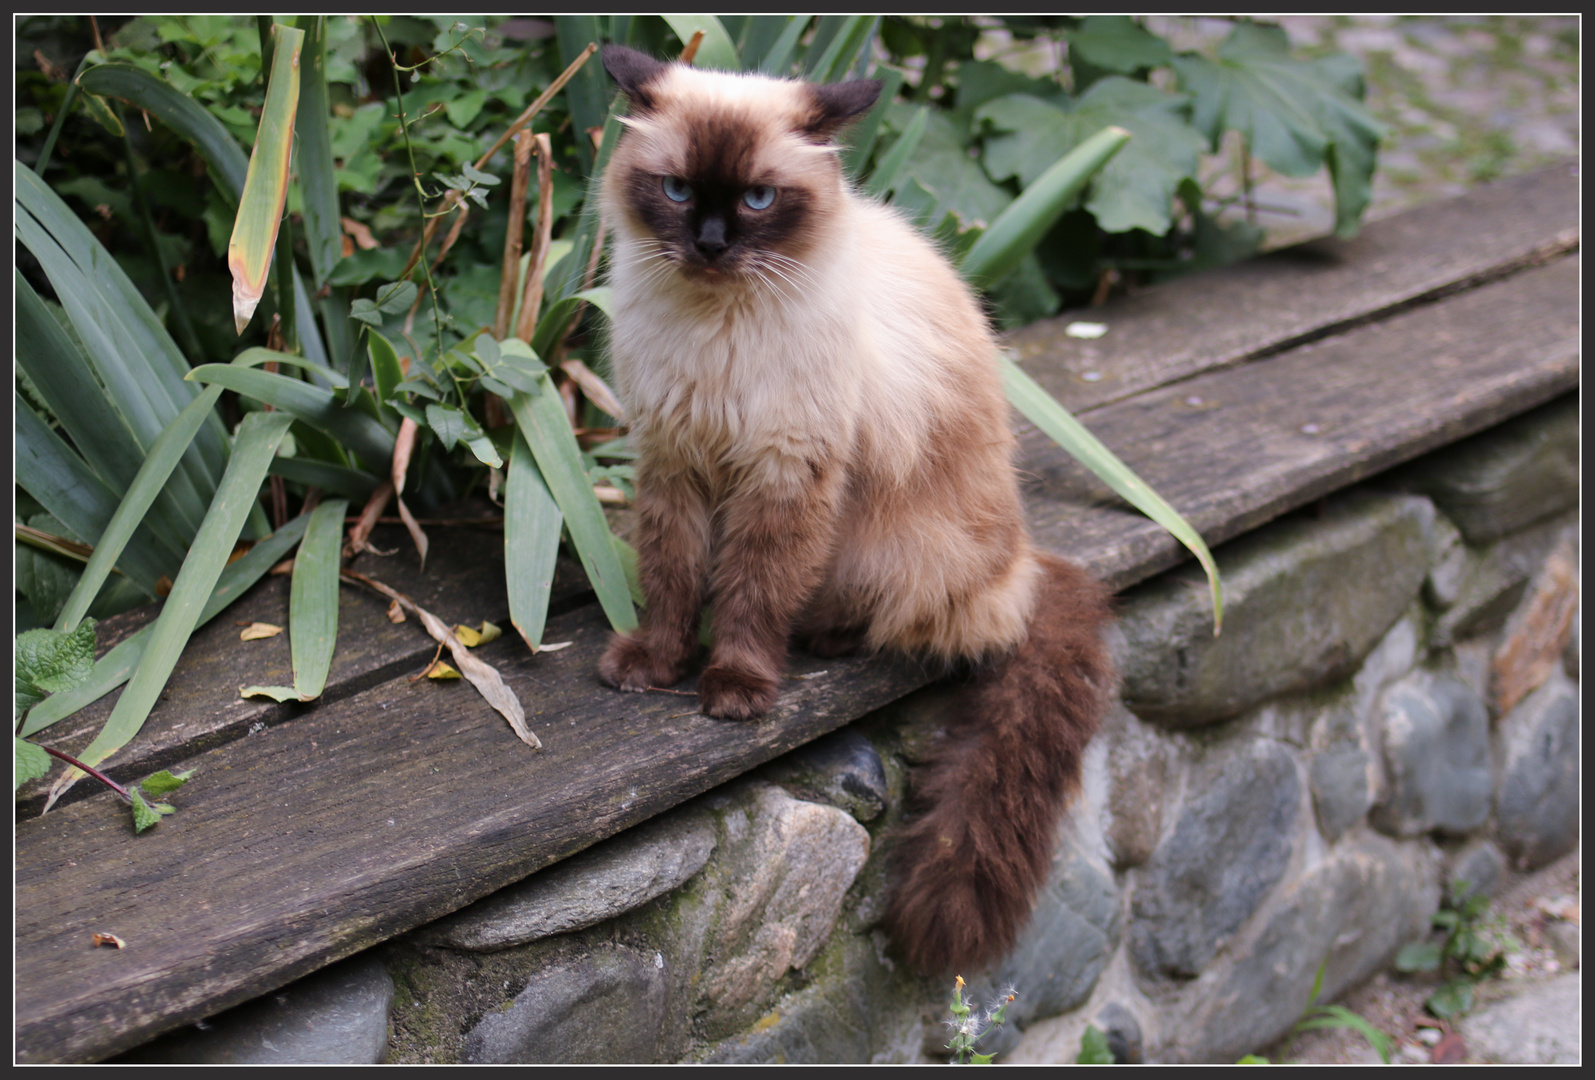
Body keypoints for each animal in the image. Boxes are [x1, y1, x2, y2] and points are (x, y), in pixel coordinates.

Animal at [593, 46, 1116, 969]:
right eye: (678, 190)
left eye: (758, 200)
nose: (711, 243)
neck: (715, 329)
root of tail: (1026, 561)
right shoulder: (675, 464)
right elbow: (672, 579)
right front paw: (655, 664)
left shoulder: (783, 473)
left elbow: (753, 593)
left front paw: (733, 688)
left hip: (890, 548)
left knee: (907, 620)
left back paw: (828, 637)